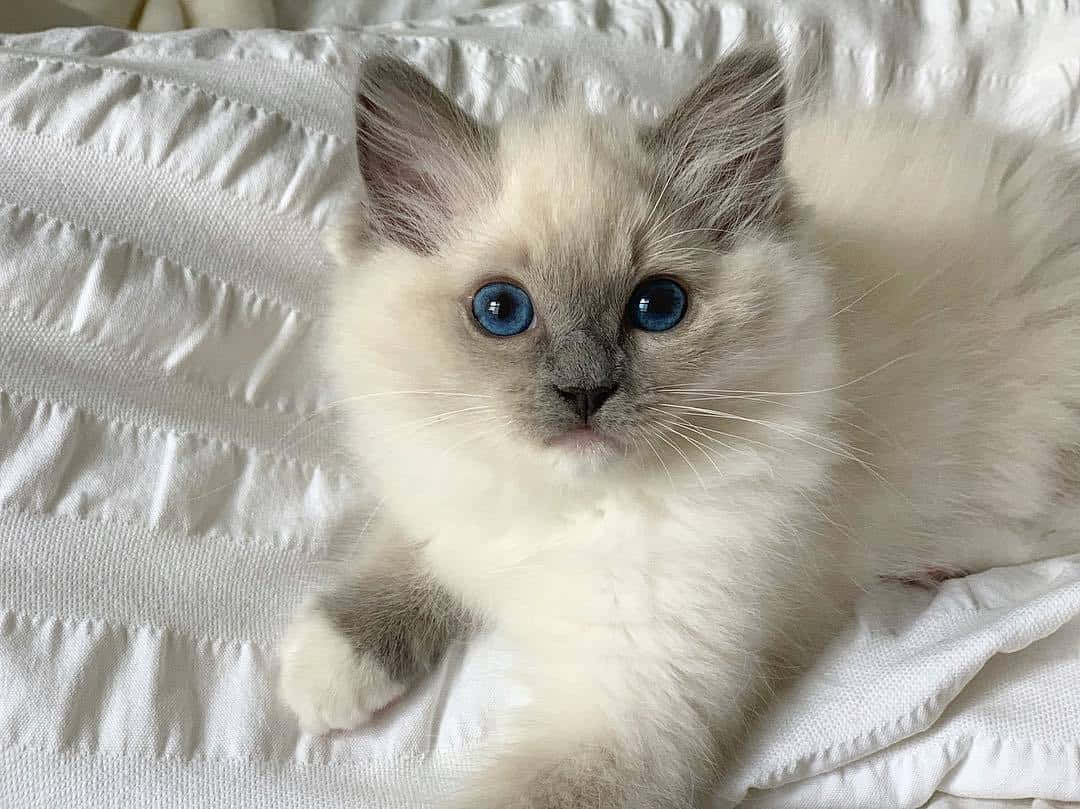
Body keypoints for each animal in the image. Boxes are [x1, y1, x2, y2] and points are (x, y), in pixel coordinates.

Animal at [276, 53, 1080, 803]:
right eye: (500, 311)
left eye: (658, 306)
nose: (585, 391)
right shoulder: (451, 506)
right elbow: (402, 562)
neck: (566, 512)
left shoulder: (635, 698)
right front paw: (324, 670)